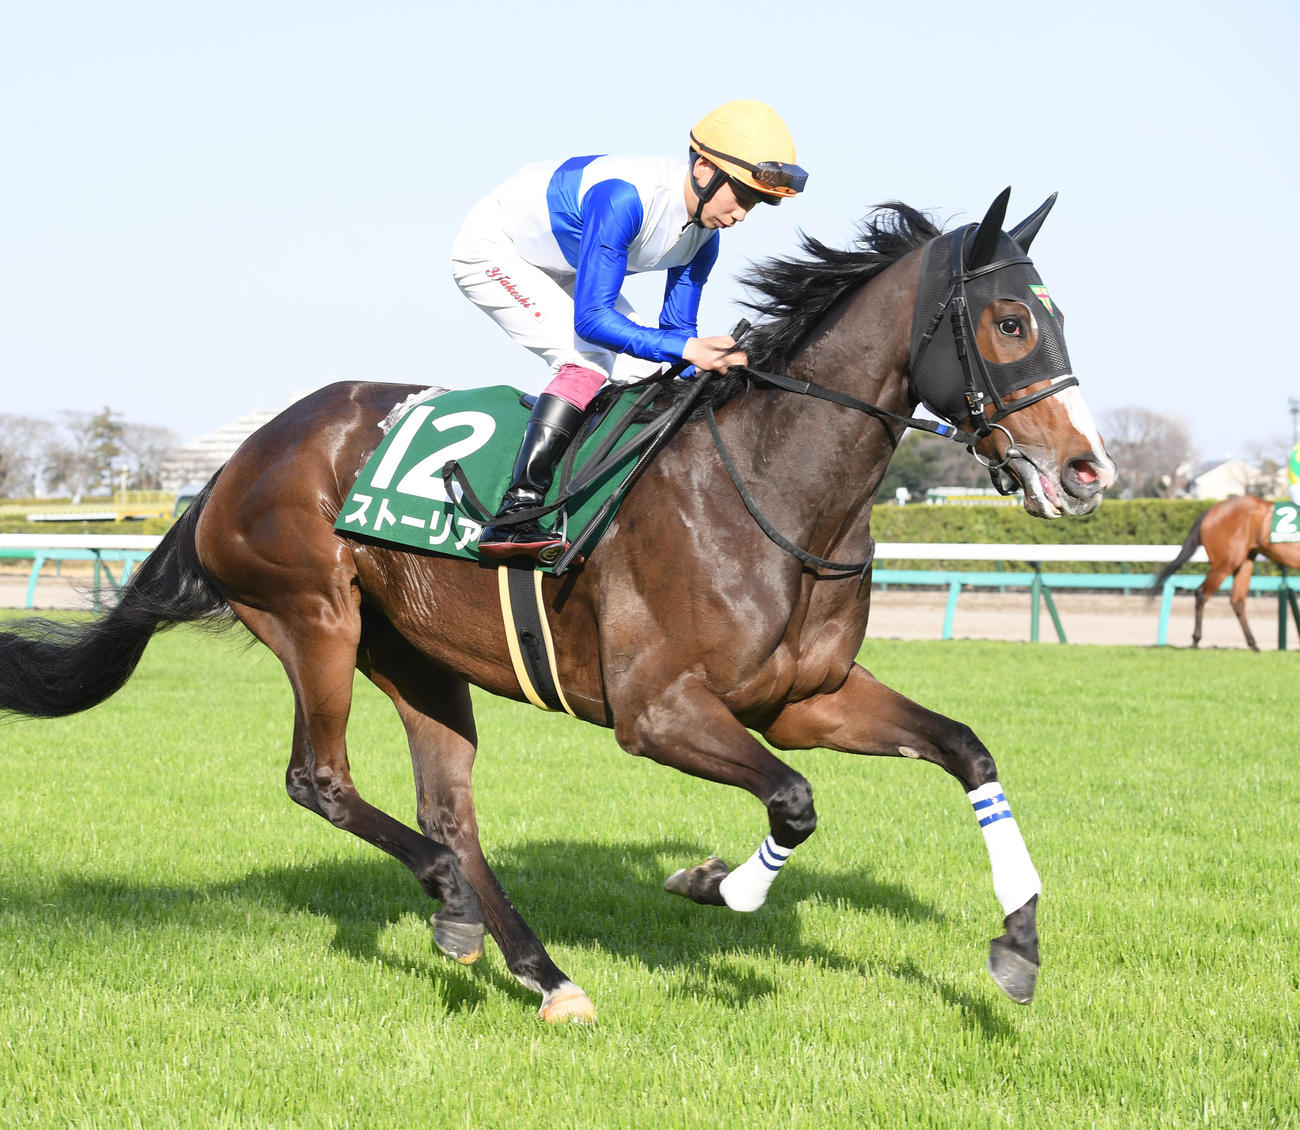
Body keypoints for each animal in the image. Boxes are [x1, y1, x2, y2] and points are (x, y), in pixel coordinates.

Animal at [0, 189, 1115, 1023]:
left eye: (1058, 318)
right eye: (1010, 321)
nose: (1085, 470)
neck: (773, 485)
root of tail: (239, 458)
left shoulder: (806, 697)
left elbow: (966, 749)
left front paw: (1018, 941)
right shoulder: (656, 710)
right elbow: (795, 800)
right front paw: (716, 883)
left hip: (416, 654)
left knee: (448, 808)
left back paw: (534, 966)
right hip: (314, 616)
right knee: (320, 779)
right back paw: (451, 900)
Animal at [1150, 494, 1300, 650]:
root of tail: (1211, 511)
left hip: (1245, 561)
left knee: (1237, 600)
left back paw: (1253, 644)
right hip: (1225, 564)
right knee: (1202, 593)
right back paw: (1195, 641)